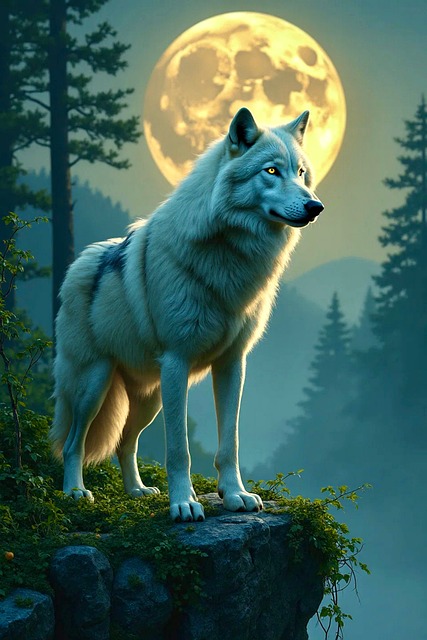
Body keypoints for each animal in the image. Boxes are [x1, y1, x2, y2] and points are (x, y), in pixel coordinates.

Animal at [51, 107, 324, 522]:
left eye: (302, 172)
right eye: (272, 171)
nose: (315, 206)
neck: (230, 257)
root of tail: (79, 262)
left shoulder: (232, 364)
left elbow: (230, 443)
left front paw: (235, 495)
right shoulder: (177, 362)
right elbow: (179, 448)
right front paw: (183, 503)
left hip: (151, 399)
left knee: (125, 443)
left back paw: (137, 491)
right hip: (94, 386)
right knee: (73, 441)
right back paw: (76, 491)